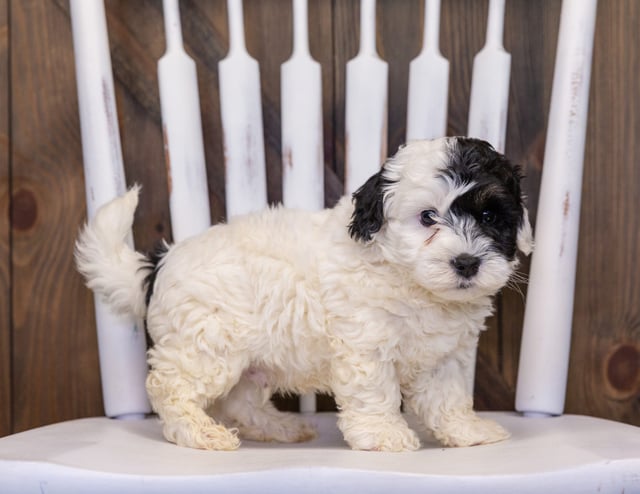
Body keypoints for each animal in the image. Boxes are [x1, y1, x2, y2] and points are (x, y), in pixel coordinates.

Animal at [76, 136, 536, 452]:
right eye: (427, 217)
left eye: (490, 215)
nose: (466, 262)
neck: (411, 282)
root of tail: (161, 263)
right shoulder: (365, 347)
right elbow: (376, 394)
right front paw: (383, 435)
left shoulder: (441, 357)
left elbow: (449, 398)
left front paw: (468, 431)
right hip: (207, 345)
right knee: (170, 388)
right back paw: (201, 433)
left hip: (249, 361)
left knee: (239, 402)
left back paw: (279, 427)